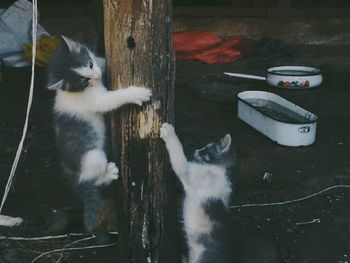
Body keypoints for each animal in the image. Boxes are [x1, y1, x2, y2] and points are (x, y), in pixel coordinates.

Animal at [47, 37, 151, 233]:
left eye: (89, 64)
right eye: (84, 80)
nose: (96, 76)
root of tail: (75, 178)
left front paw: (101, 62)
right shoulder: (96, 101)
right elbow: (113, 98)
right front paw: (137, 93)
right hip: (92, 156)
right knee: (94, 179)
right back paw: (109, 174)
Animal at [161, 124, 238, 263]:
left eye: (205, 150)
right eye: (203, 147)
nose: (196, 150)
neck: (219, 172)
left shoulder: (187, 172)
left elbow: (178, 154)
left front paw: (169, 133)